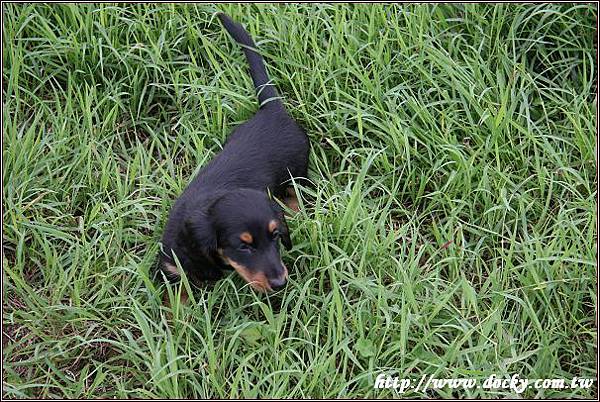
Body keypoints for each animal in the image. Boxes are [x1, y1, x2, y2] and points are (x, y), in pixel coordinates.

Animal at [159, 12, 310, 292]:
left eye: (276, 236)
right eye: (243, 246)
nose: (280, 283)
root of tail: (272, 109)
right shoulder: (172, 267)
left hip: (298, 174)